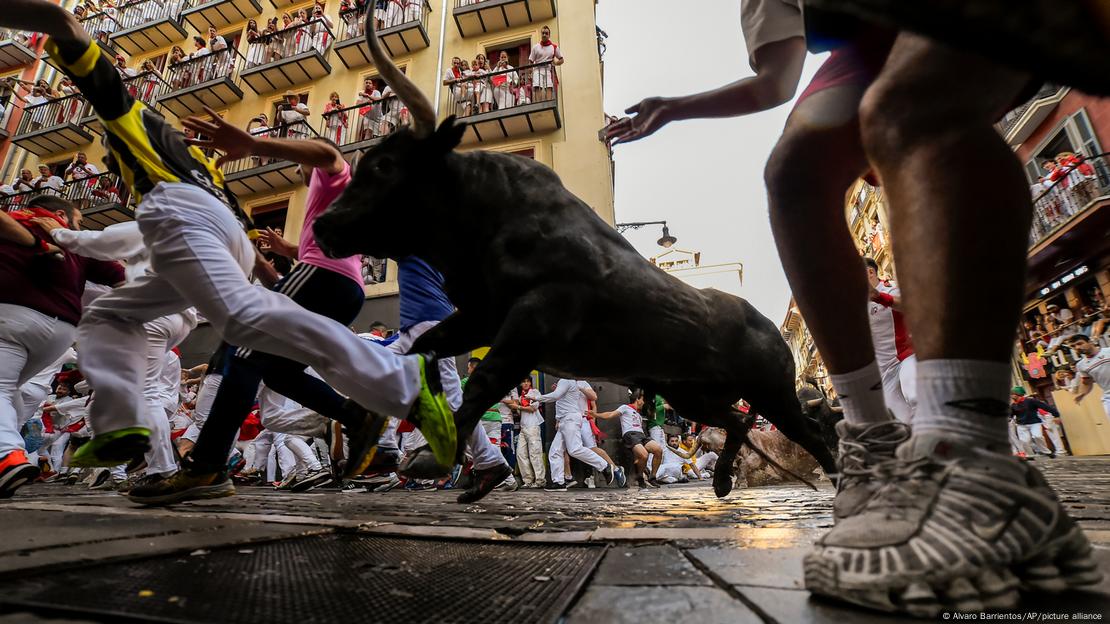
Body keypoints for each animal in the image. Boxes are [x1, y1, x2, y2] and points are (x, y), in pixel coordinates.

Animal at [313, 126, 834, 495]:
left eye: (384, 166)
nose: (322, 224)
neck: (488, 218)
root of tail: (765, 323)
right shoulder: (482, 316)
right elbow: (422, 348)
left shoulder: (530, 322)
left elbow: (484, 380)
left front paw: (432, 456)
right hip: (692, 394)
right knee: (736, 422)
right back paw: (725, 479)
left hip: (771, 391)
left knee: (807, 429)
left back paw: (833, 475)